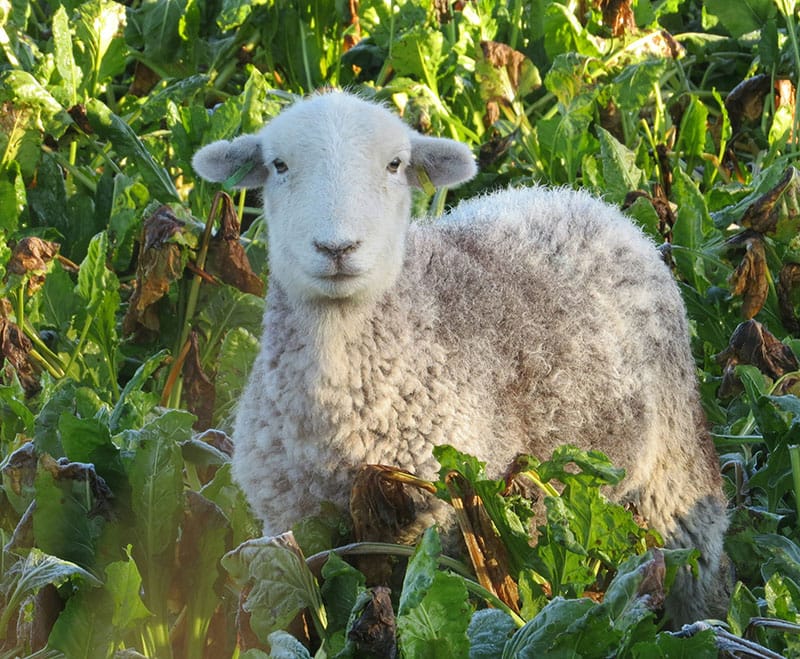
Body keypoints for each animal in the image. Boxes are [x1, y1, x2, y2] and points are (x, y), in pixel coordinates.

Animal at [192, 91, 730, 625]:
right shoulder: (292, 527)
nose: (337, 247)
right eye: (279, 165)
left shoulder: (451, 528)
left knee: (698, 549)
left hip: (673, 457)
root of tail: (575, 198)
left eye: (395, 164)